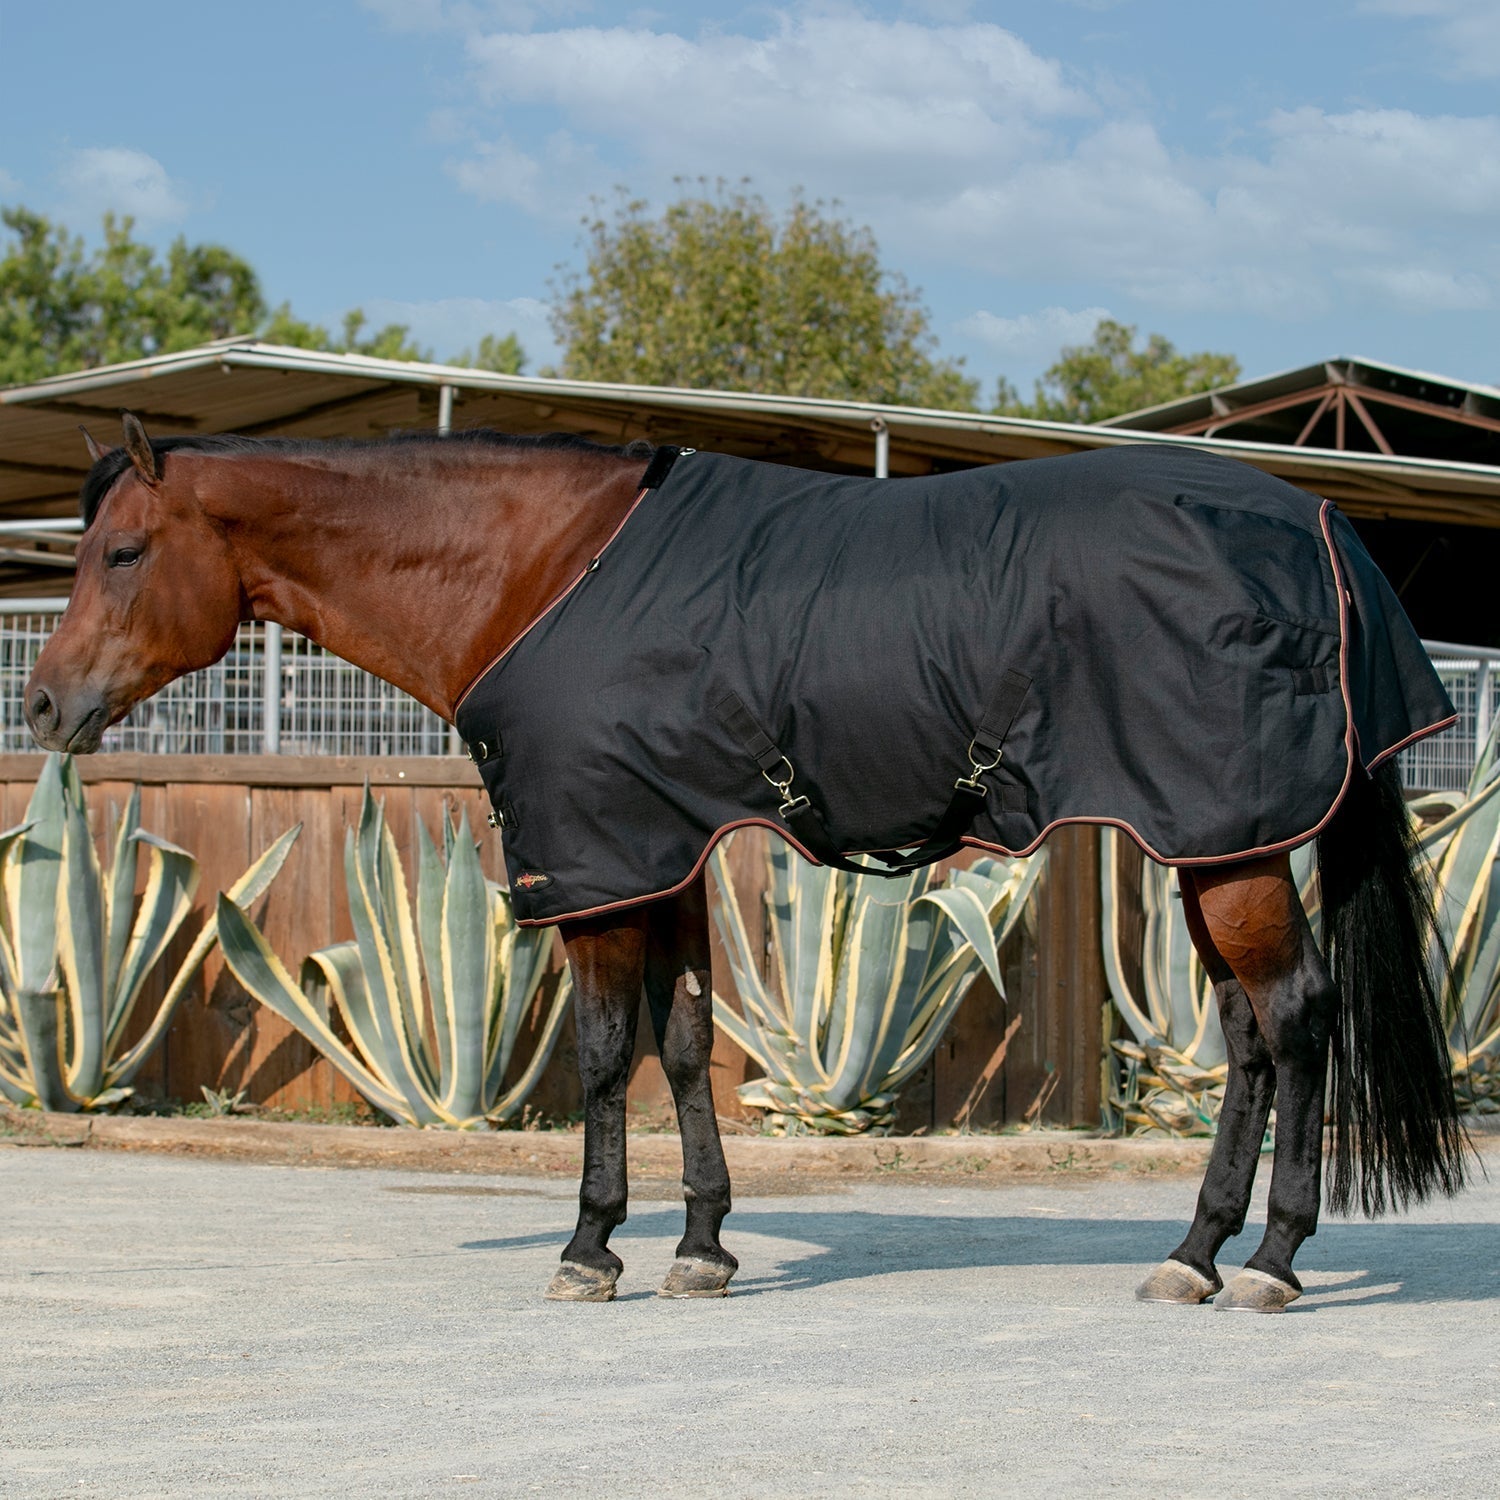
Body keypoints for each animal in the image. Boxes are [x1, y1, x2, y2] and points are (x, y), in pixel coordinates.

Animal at [26, 414, 1464, 1314]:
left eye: (124, 552)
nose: (43, 706)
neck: (543, 568)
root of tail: (1321, 523)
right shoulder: (661, 852)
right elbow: (682, 1045)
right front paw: (704, 1248)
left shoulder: (598, 863)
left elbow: (605, 1054)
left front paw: (590, 1248)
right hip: (1209, 842)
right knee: (1251, 1036)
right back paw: (1199, 1252)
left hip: (1230, 847)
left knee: (1297, 1018)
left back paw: (1269, 1260)